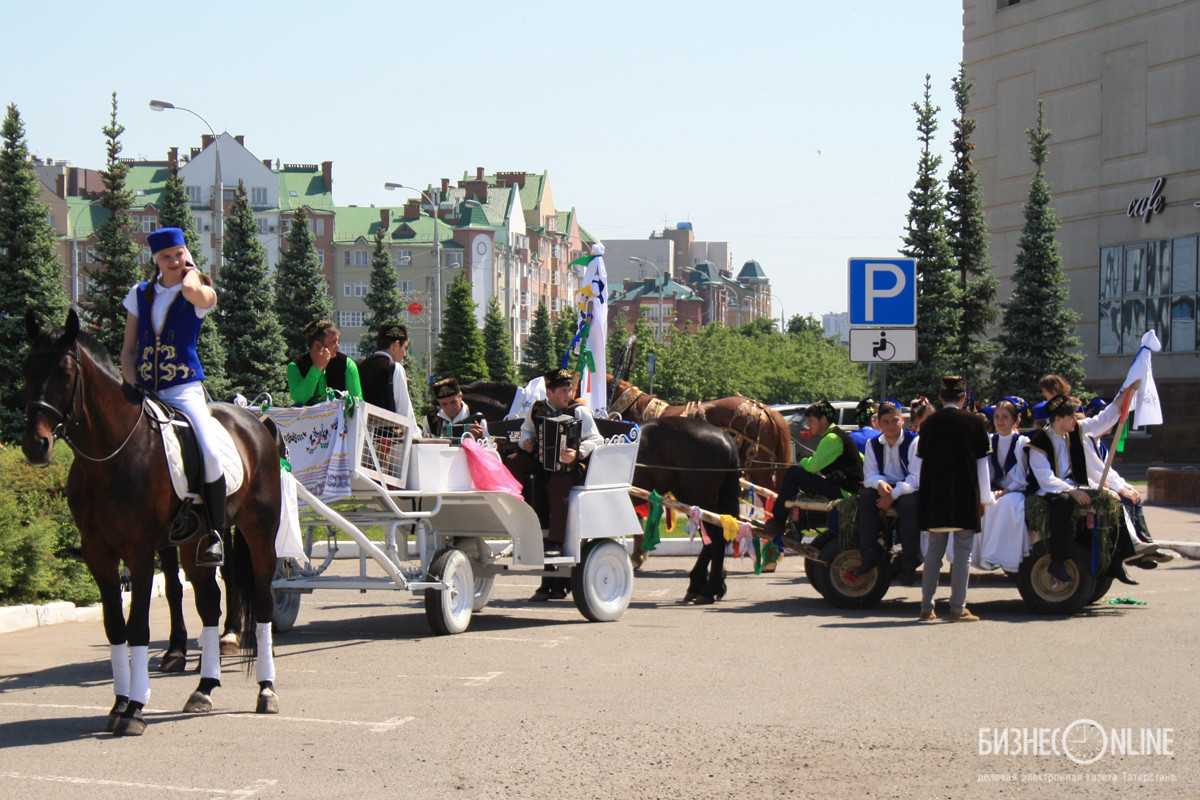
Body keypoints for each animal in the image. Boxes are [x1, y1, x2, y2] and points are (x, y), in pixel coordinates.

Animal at [19, 309, 282, 734]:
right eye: (26, 369)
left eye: (64, 371)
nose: (34, 444)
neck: (110, 454)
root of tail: (256, 421)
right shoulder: (100, 555)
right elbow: (115, 627)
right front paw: (118, 704)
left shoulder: (140, 552)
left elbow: (138, 627)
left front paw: (134, 709)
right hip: (195, 545)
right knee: (209, 605)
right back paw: (204, 688)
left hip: (260, 532)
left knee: (261, 603)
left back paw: (266, 690)